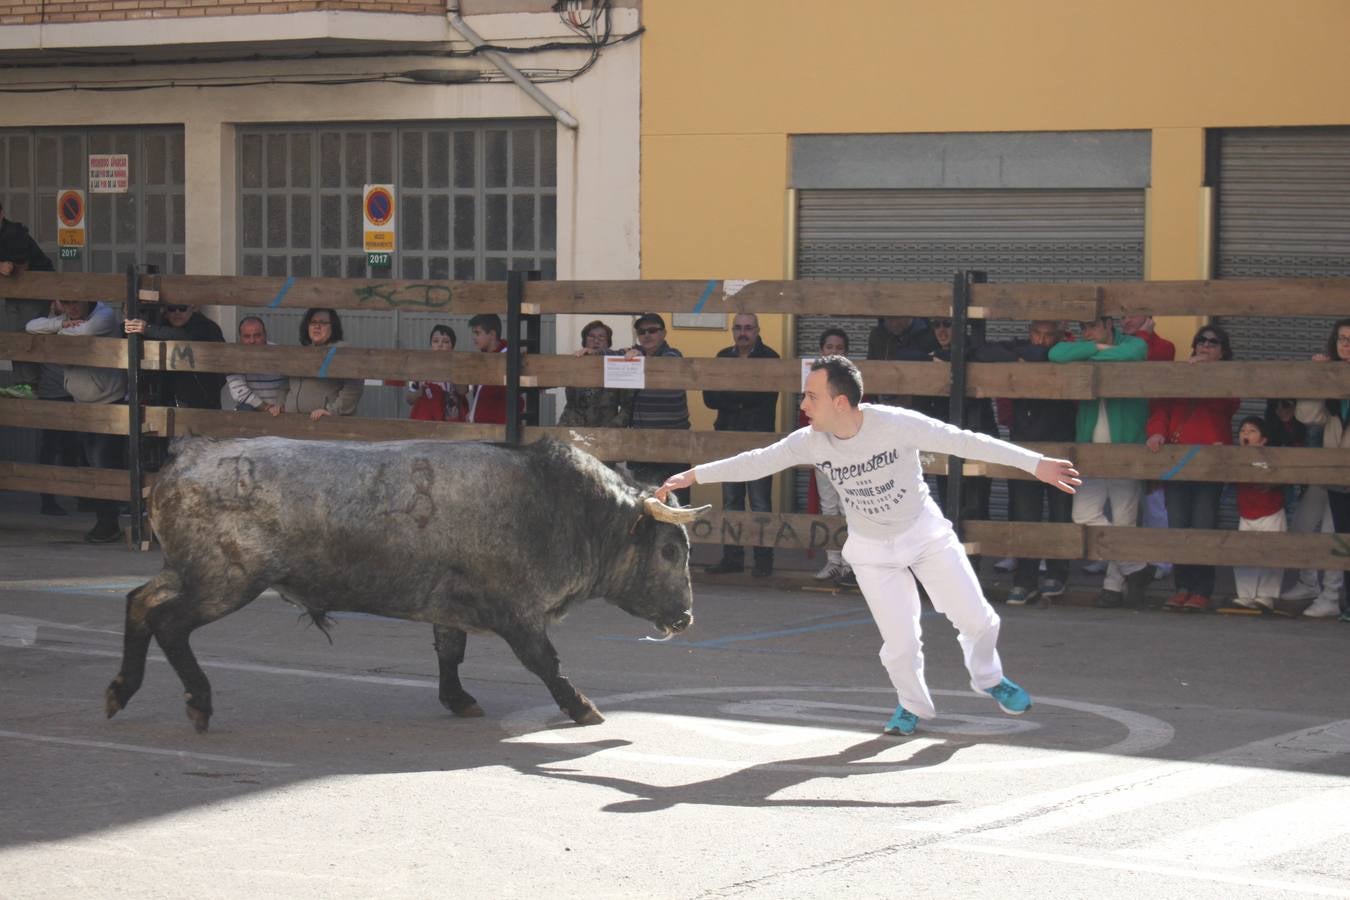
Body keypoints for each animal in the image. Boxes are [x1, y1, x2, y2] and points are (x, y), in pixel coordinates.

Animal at [105, 439, 707, 734]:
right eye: (670, 551)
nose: (685, 618)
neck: (563, 507)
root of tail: (185, 459)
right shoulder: (517, 613)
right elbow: (546, 662)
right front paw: (581, 707)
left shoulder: (450, 605)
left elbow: (449, 651)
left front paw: (458, 698)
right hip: (226, 581)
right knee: (168, 623)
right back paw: (198, 702)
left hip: (189, 571)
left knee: (139, 602)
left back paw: (121, 689)